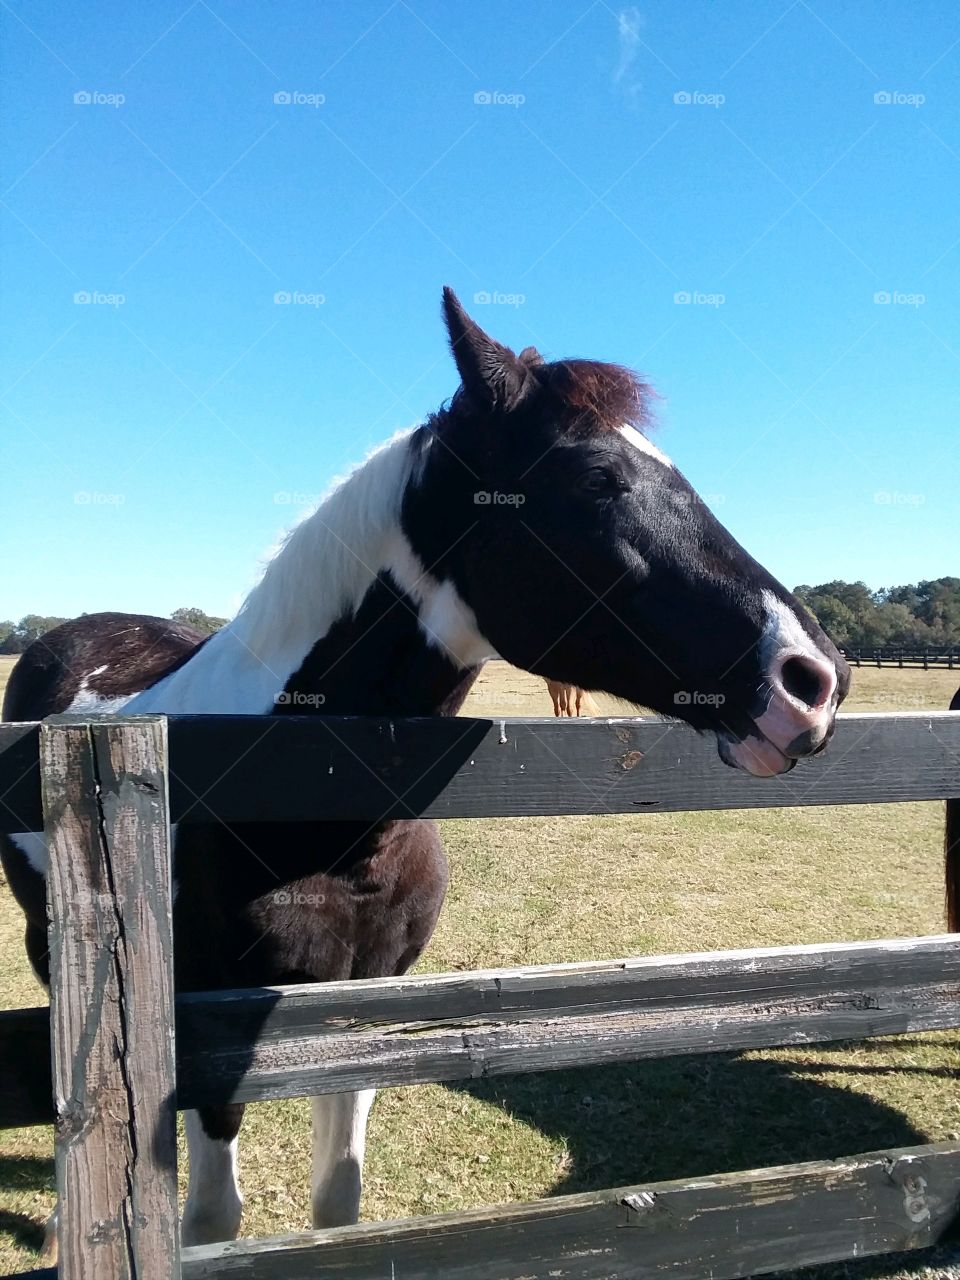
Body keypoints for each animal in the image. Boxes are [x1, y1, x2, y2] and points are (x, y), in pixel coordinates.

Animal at [0, 287, 850, 1251]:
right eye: (596, 480)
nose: (815, 681)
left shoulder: (371, 1001)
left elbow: (339, 1198)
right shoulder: (208, 1023)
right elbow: (213, 1217)